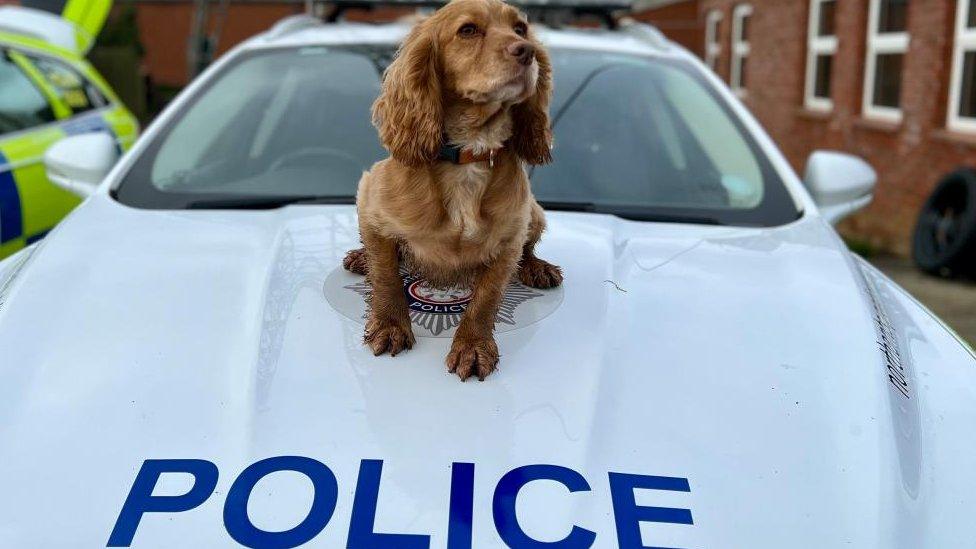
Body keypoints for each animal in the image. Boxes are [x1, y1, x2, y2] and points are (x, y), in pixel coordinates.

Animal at [346, 0, 564, 382]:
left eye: (520, 28)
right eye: (468, 30)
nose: (527, 51)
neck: (470, 151)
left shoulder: (509, 238)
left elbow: (487, 298)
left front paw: (473, 346)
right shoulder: (369, 199)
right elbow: (386, 273)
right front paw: (390, 325)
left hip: (534, 213)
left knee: (529, 249)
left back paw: (537, 267)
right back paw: (360, 258)